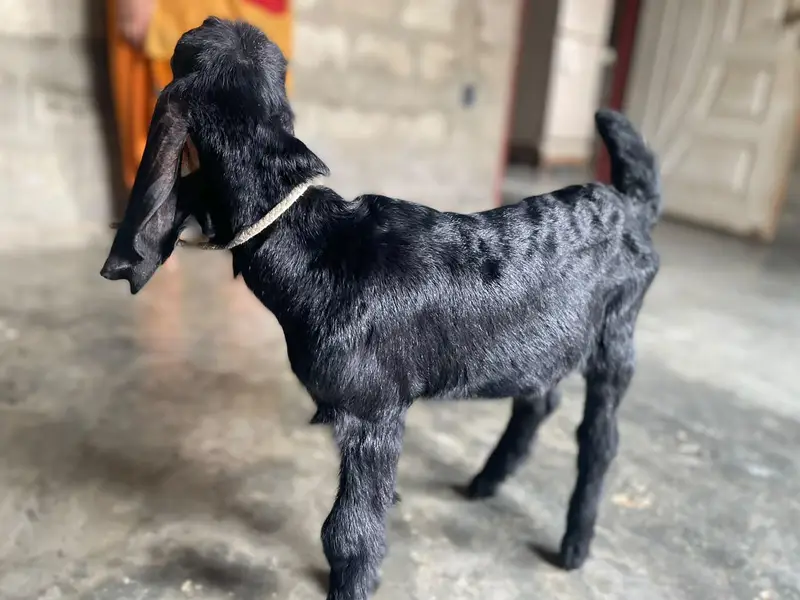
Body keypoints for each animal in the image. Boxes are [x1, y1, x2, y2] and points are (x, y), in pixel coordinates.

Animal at [101, 17, 661, 600]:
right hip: (544, 342)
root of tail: (633, 203)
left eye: (183, 52)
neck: (318, 242)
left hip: (616, 334)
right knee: (539, 398)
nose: (216, 20)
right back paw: (487, 480)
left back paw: (574, 544)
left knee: (599, 438)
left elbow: (348, 531)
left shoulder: (373, 411)